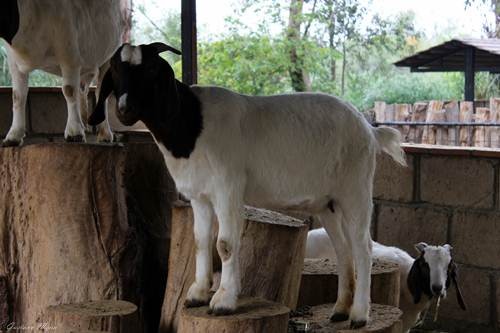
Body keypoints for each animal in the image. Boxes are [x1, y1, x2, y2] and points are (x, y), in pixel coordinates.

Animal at [0, 0, 124, 145]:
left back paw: (105, 134)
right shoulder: (14, 63)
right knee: (82, 89)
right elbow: (17, 96)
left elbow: (69, 90)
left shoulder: (69, 56)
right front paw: (13, 136)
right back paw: (84, 123)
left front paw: (74, 132)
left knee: (100, 91)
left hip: (108, 57)